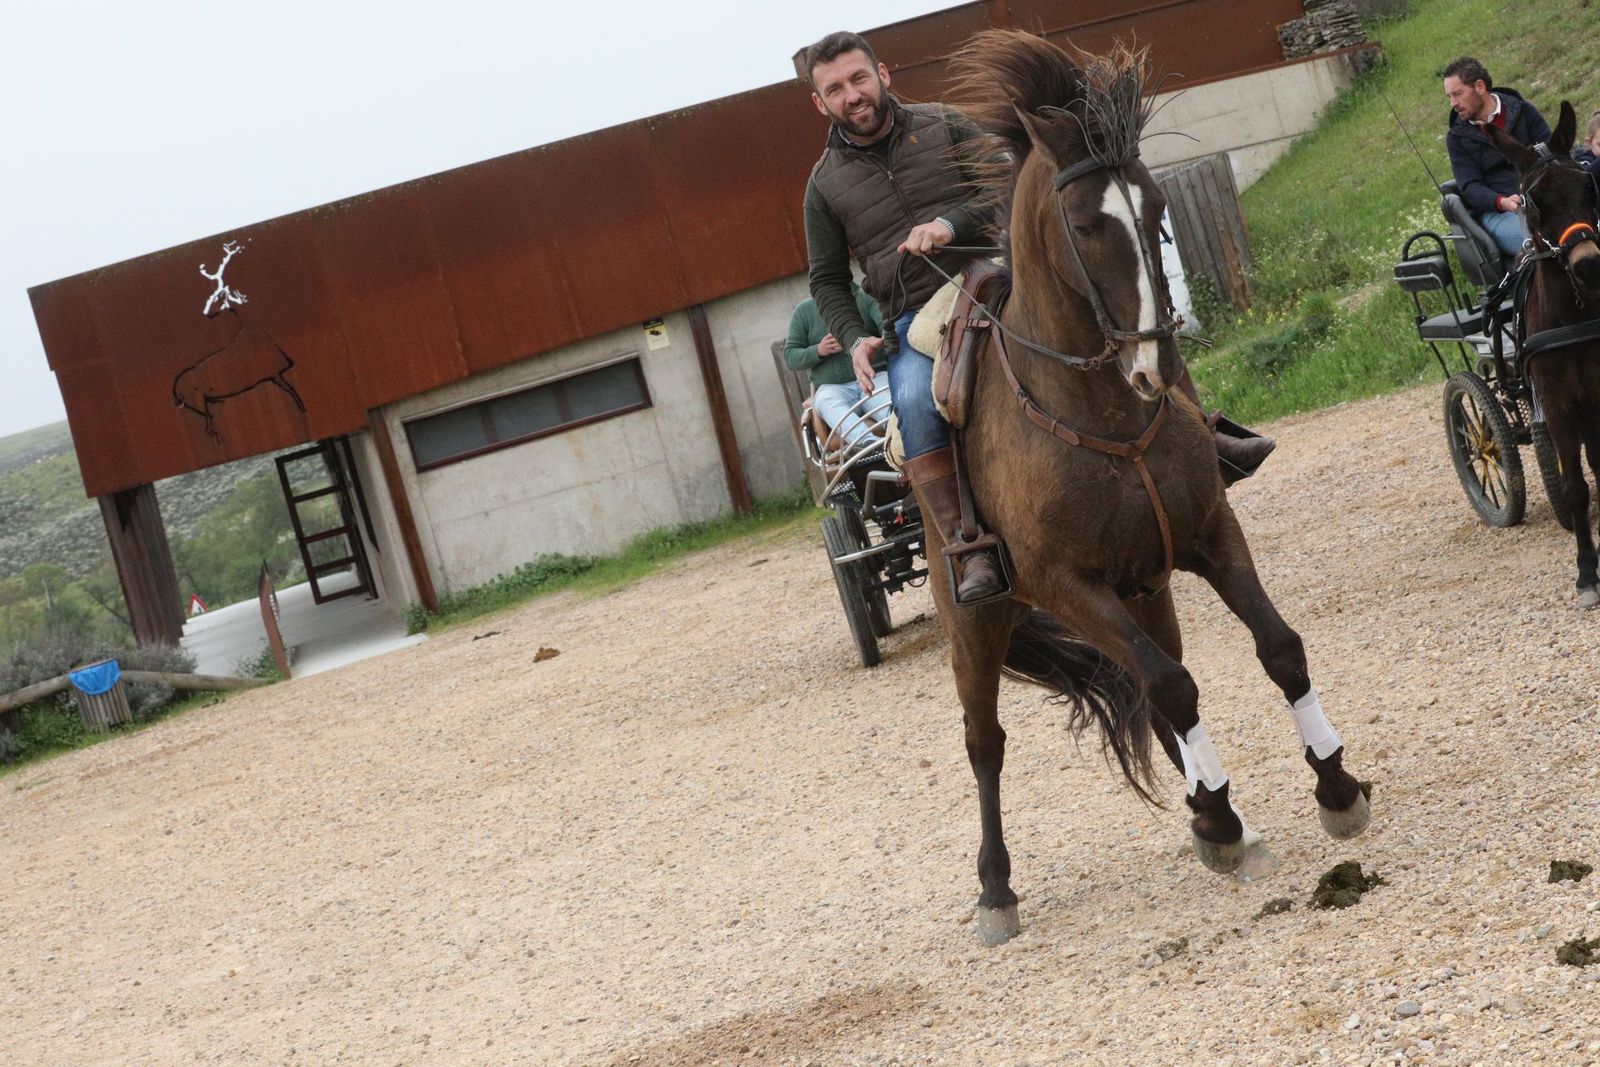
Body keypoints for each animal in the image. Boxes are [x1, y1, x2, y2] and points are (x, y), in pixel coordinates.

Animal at [921, 31, 1371, 945]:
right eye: (1087, 223)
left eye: (1157, 208)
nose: (1155, 365)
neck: (1101, 411)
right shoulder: (1068, 582)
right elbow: (1170, 683)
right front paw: (1224, 816)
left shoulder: (1208, 534)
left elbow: (1277, 648)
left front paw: (1331, 785)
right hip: (977, 625)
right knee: (987, 740)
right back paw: (997, 889)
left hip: (1148, 587)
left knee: (1162, 690)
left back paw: (1210, 804)